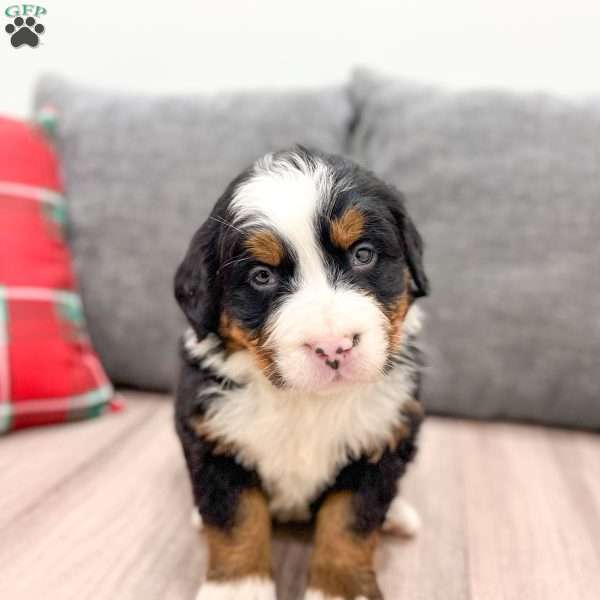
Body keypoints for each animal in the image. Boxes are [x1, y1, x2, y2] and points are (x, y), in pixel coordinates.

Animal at [173, 146, 426, 600]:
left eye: (363, 254)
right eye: (262, 276)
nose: (333, 346)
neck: (305, 402)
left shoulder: (383, 437)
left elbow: (350, 523)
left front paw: (341, 589)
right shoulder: (211, 434)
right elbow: (234, 518)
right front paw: (238, 587)